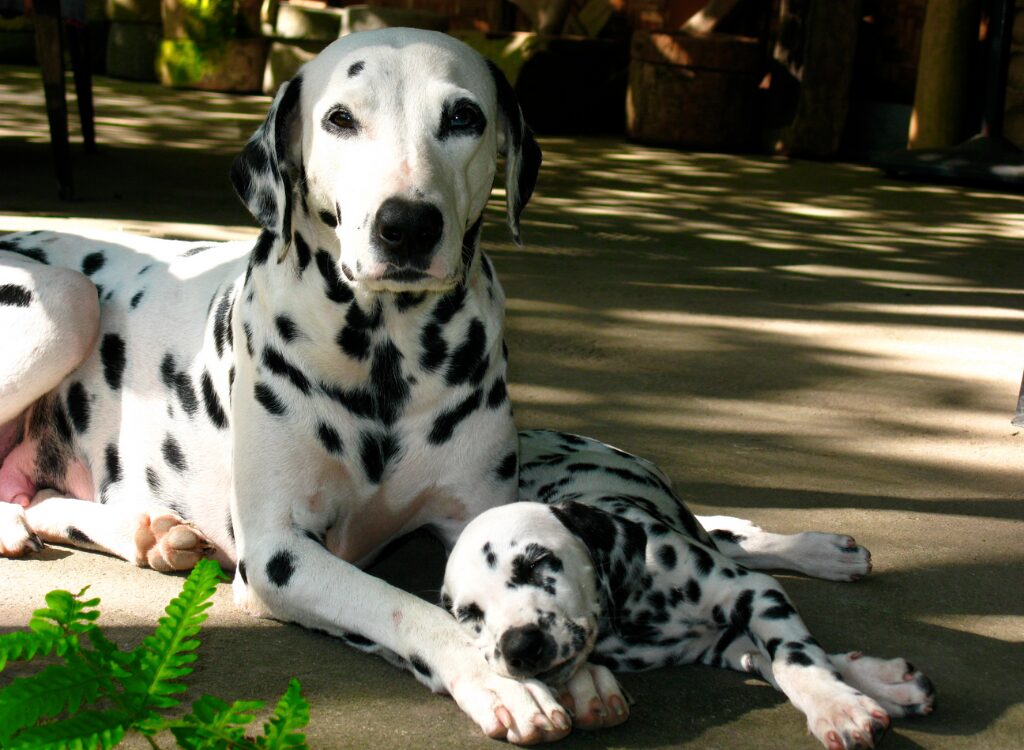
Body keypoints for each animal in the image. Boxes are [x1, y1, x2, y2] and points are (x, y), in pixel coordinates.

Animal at [442, 430, 937, 745]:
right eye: (470, 616)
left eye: (536, 562)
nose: (520, 647)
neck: (639, 614)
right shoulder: (724, 645)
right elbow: (780, 661)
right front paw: (875, 683)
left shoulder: (754, 592)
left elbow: (797, 658)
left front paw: (837, 705)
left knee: (733, 538)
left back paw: (825, 553)